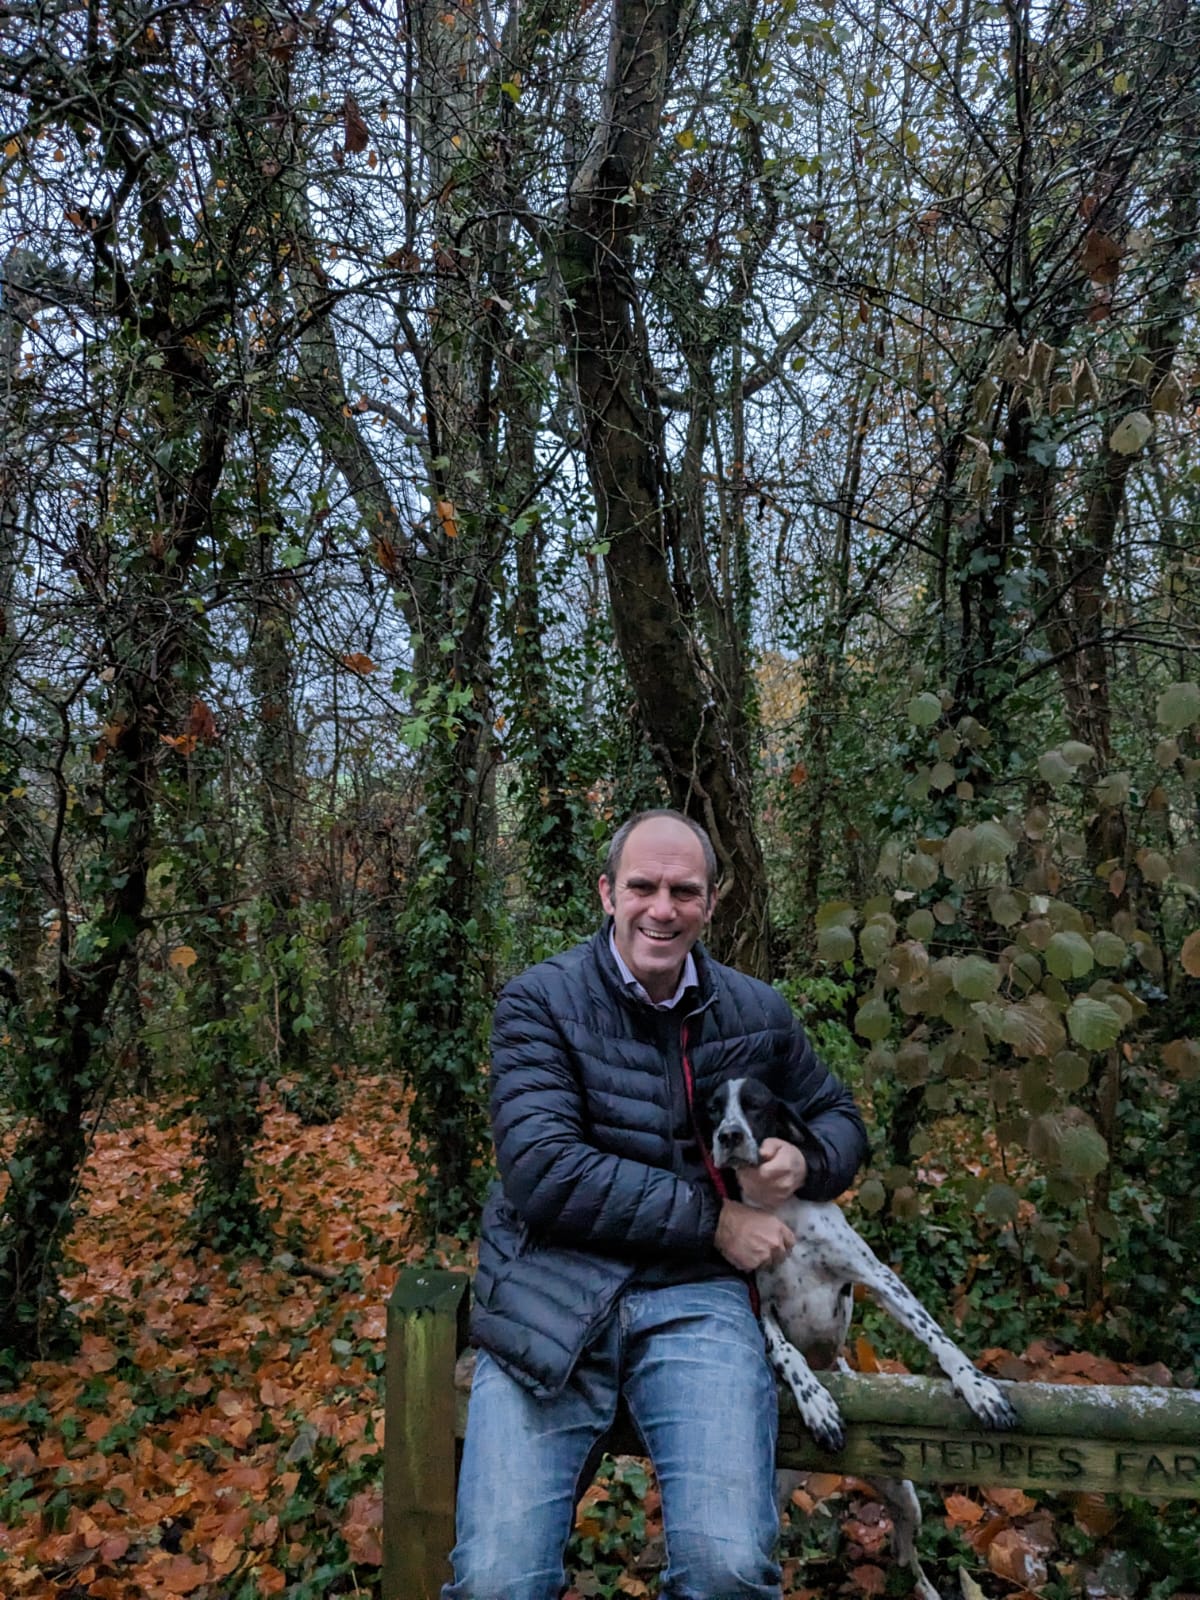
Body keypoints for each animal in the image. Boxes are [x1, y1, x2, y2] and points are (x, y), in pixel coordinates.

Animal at [705, 1075, 1019, 1600]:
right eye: (713, 1109)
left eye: (755, 1105)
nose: (728, 1136)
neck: (780, 1210)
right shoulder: (760, 1308)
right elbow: (788, 1355)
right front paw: (817, 1403)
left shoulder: (877, 1277)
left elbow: (934, 1333)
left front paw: (977, 1387)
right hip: (774, 1502)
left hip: (906, 1496)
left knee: (906, 1555)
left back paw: (927, 1588)